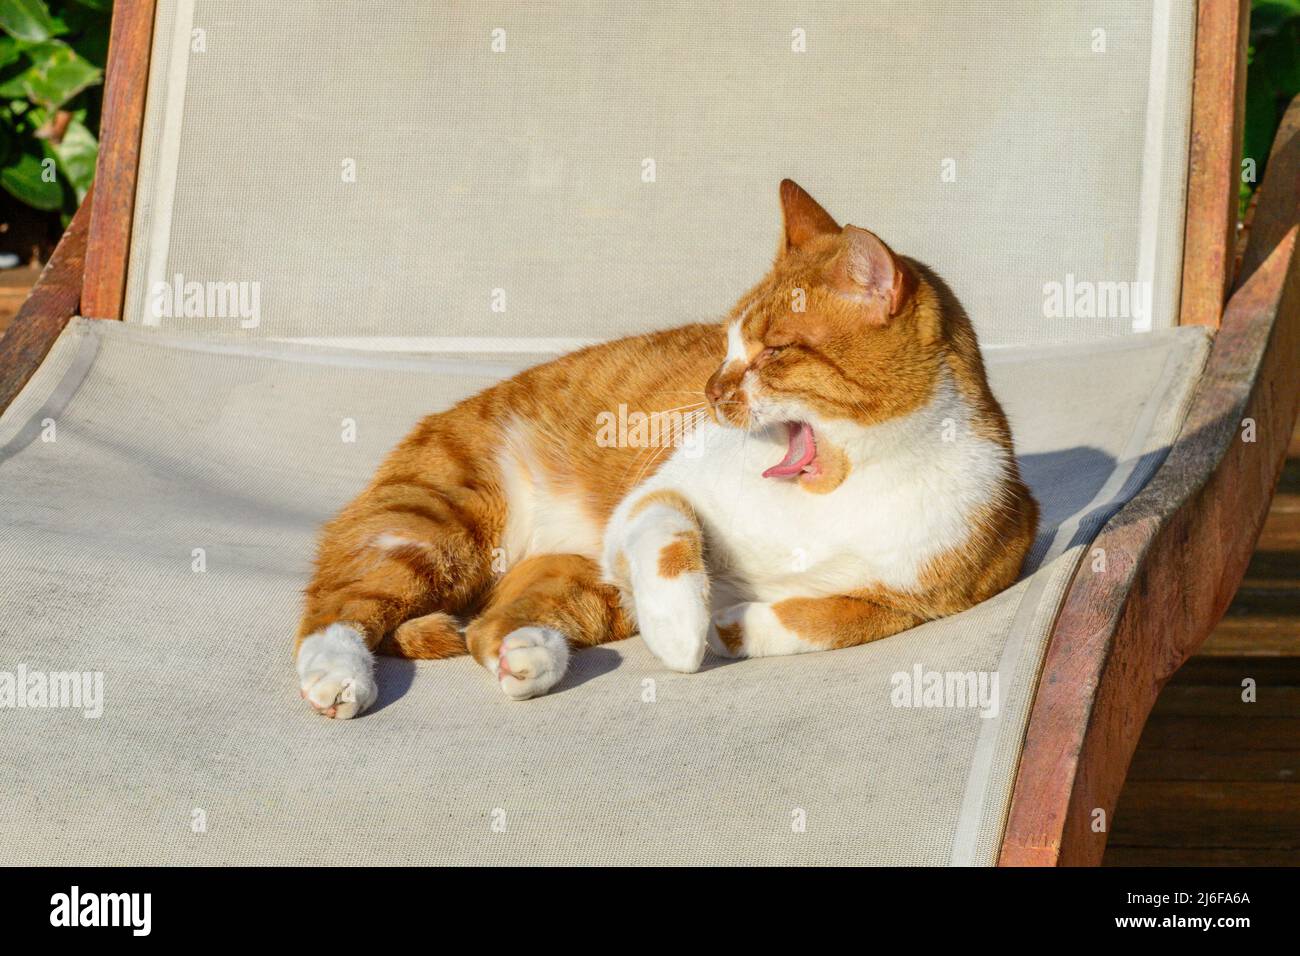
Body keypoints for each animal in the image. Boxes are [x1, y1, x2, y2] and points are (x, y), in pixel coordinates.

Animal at [292, 179, 1034, 717]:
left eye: (774, 351)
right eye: (727, 345)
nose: (710, 389)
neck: (842, 482)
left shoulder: (925, 596)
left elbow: (829, 619)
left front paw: (729, 627)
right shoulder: (654, 493)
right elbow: (672, 532)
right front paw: (683, 627)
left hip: (578, 582)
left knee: (490, 626)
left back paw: (531, 655)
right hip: (434, 526)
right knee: (334, 612)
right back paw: (339, 677)